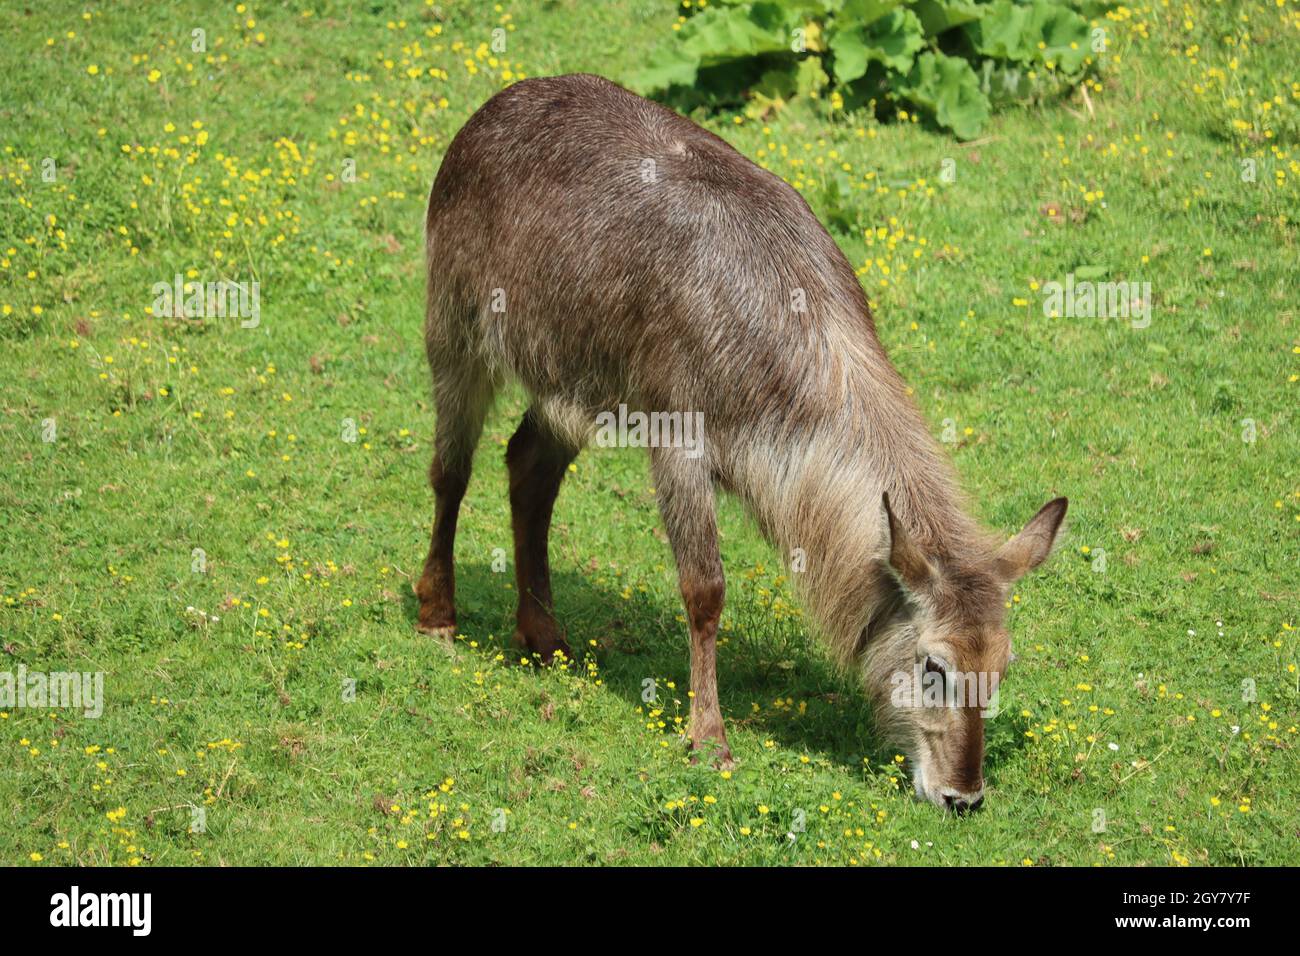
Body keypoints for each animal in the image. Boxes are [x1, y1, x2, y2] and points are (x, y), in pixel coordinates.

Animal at [416, 74, 1066, 811]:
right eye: (935, 665)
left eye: (1002, 666)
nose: (963, 796)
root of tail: (497, 103)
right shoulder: (678, 442)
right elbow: (705, 591)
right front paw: (709, 738)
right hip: (456, 334)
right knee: (450, 470)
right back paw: (437, 612)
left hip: (569, 386)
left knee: (527, 467)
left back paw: (544, 635)